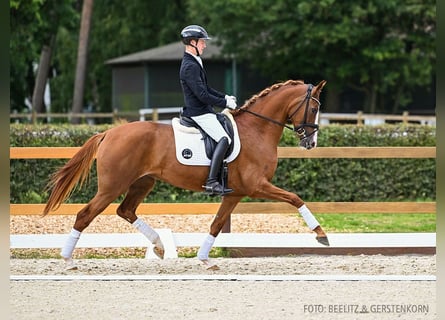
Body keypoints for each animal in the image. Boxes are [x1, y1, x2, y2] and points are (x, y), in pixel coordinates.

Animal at [43, 79, 328, 268]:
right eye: (314, 108)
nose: (311, 143)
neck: (257, 129)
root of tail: (109, 132)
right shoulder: (257, 185)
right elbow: (295, 198)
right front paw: (321, 234)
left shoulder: (235, 193)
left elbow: (216, 224)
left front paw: (204, 259)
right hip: (112, 186)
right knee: (85, 215)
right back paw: (67, 260)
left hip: (142, 182)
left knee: (125, 210)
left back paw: (159, 244)